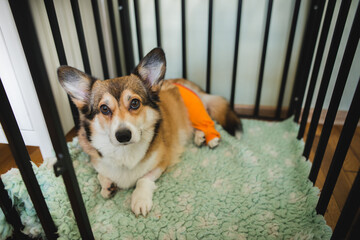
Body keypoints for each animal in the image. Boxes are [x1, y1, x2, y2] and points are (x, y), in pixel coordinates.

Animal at [57, 47, 242, 217]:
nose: (123, 135)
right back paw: (199, 137)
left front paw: (140, 200)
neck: (124, 153)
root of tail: (182, 81)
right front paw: (107, 186)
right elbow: (100, 175)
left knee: (206, 122)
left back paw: (209, 137)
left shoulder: (161, 162)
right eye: (104, 109)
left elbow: (143, 179)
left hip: (196, 111)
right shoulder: (97, 162)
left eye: (134, 103)